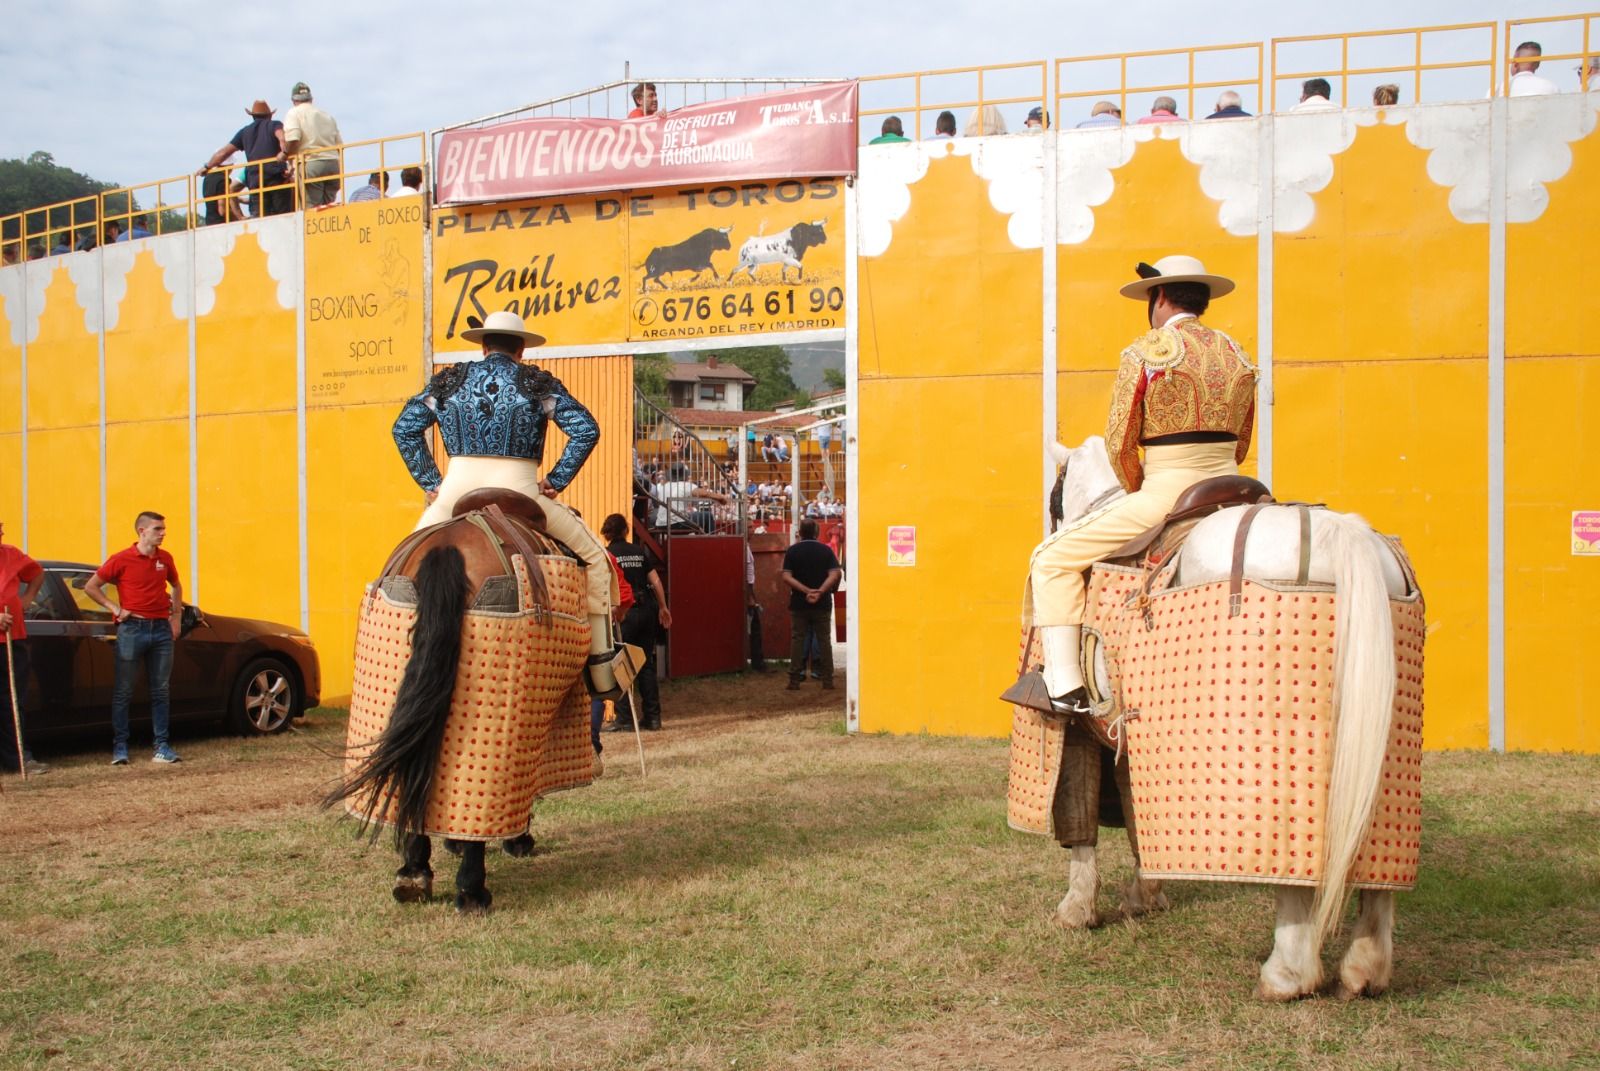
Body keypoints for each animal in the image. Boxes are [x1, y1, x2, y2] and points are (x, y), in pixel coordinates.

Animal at [1049, 429, 1414, 998]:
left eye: (1054, 498)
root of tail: (1338, 533)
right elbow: (1136, 812)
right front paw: (1144, 896)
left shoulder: (1079, 728)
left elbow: (1082, 819)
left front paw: (1076, 910)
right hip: (1378, 734)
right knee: (1376, 856)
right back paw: (1365, 970)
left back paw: (1287, 974)